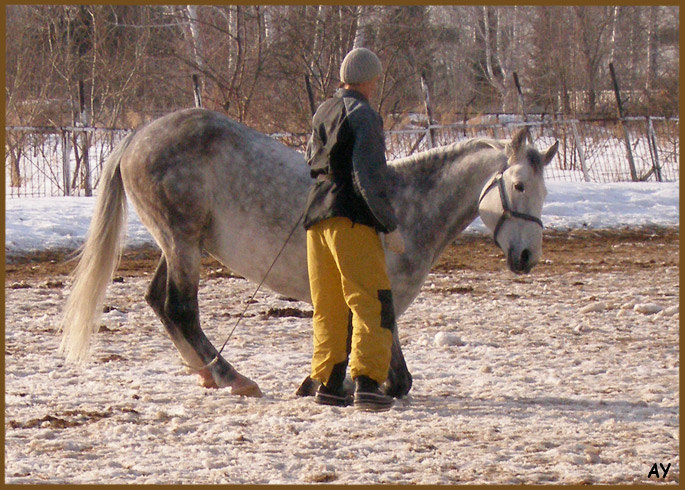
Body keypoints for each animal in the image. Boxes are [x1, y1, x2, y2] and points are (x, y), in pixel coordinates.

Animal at [60, 108, 556, 398]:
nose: (527, 256)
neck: (405, 204)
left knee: (159, 303)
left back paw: (205, 371)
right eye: (518, 185)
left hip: (179, 244)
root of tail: (138, 134)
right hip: (181, 241)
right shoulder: (377, 292)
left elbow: (388, 363)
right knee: (180, 308)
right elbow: (375, 356)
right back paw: (230, 376)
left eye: (543, 191)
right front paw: (339, 385)